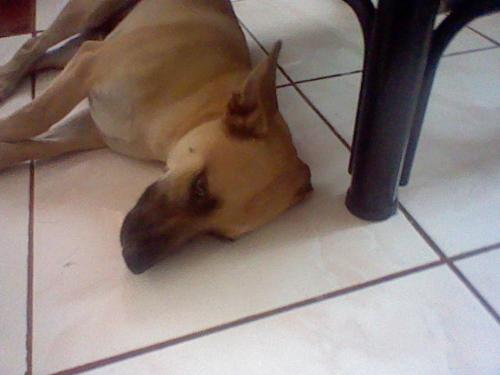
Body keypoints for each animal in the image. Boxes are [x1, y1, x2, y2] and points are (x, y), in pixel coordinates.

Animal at [0, 0, 310, 274]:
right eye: (200, 187)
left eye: (219, 236)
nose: (134, 262)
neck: (196, 101)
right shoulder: (87, 65)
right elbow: (29, 118)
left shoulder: (90, 130)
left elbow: (28, 145)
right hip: (86, 13)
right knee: (34, 44)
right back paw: (7, 78)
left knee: (45, 56)